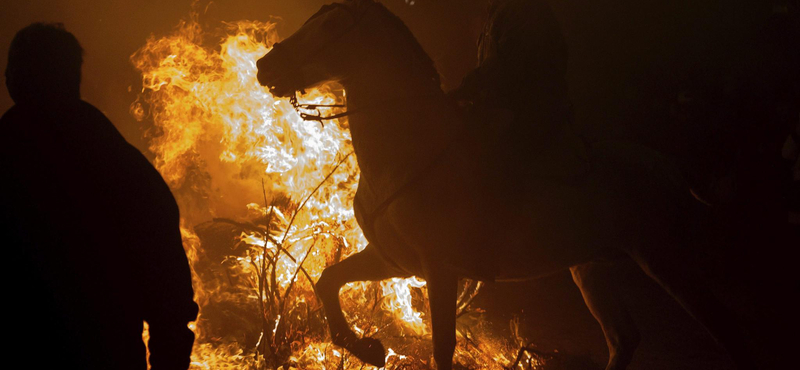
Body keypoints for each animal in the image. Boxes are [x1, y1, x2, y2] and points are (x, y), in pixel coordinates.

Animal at [258, 1, 756, 368]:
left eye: (331, 26)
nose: (265, 65)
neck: (409, 155)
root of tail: (667, 164)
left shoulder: (441, 269)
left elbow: (442, 349)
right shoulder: (392, 260)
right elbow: (328, 282)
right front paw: (367, 348)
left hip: (665, 259)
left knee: (728, 331)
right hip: (591, 268)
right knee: (624, 338)